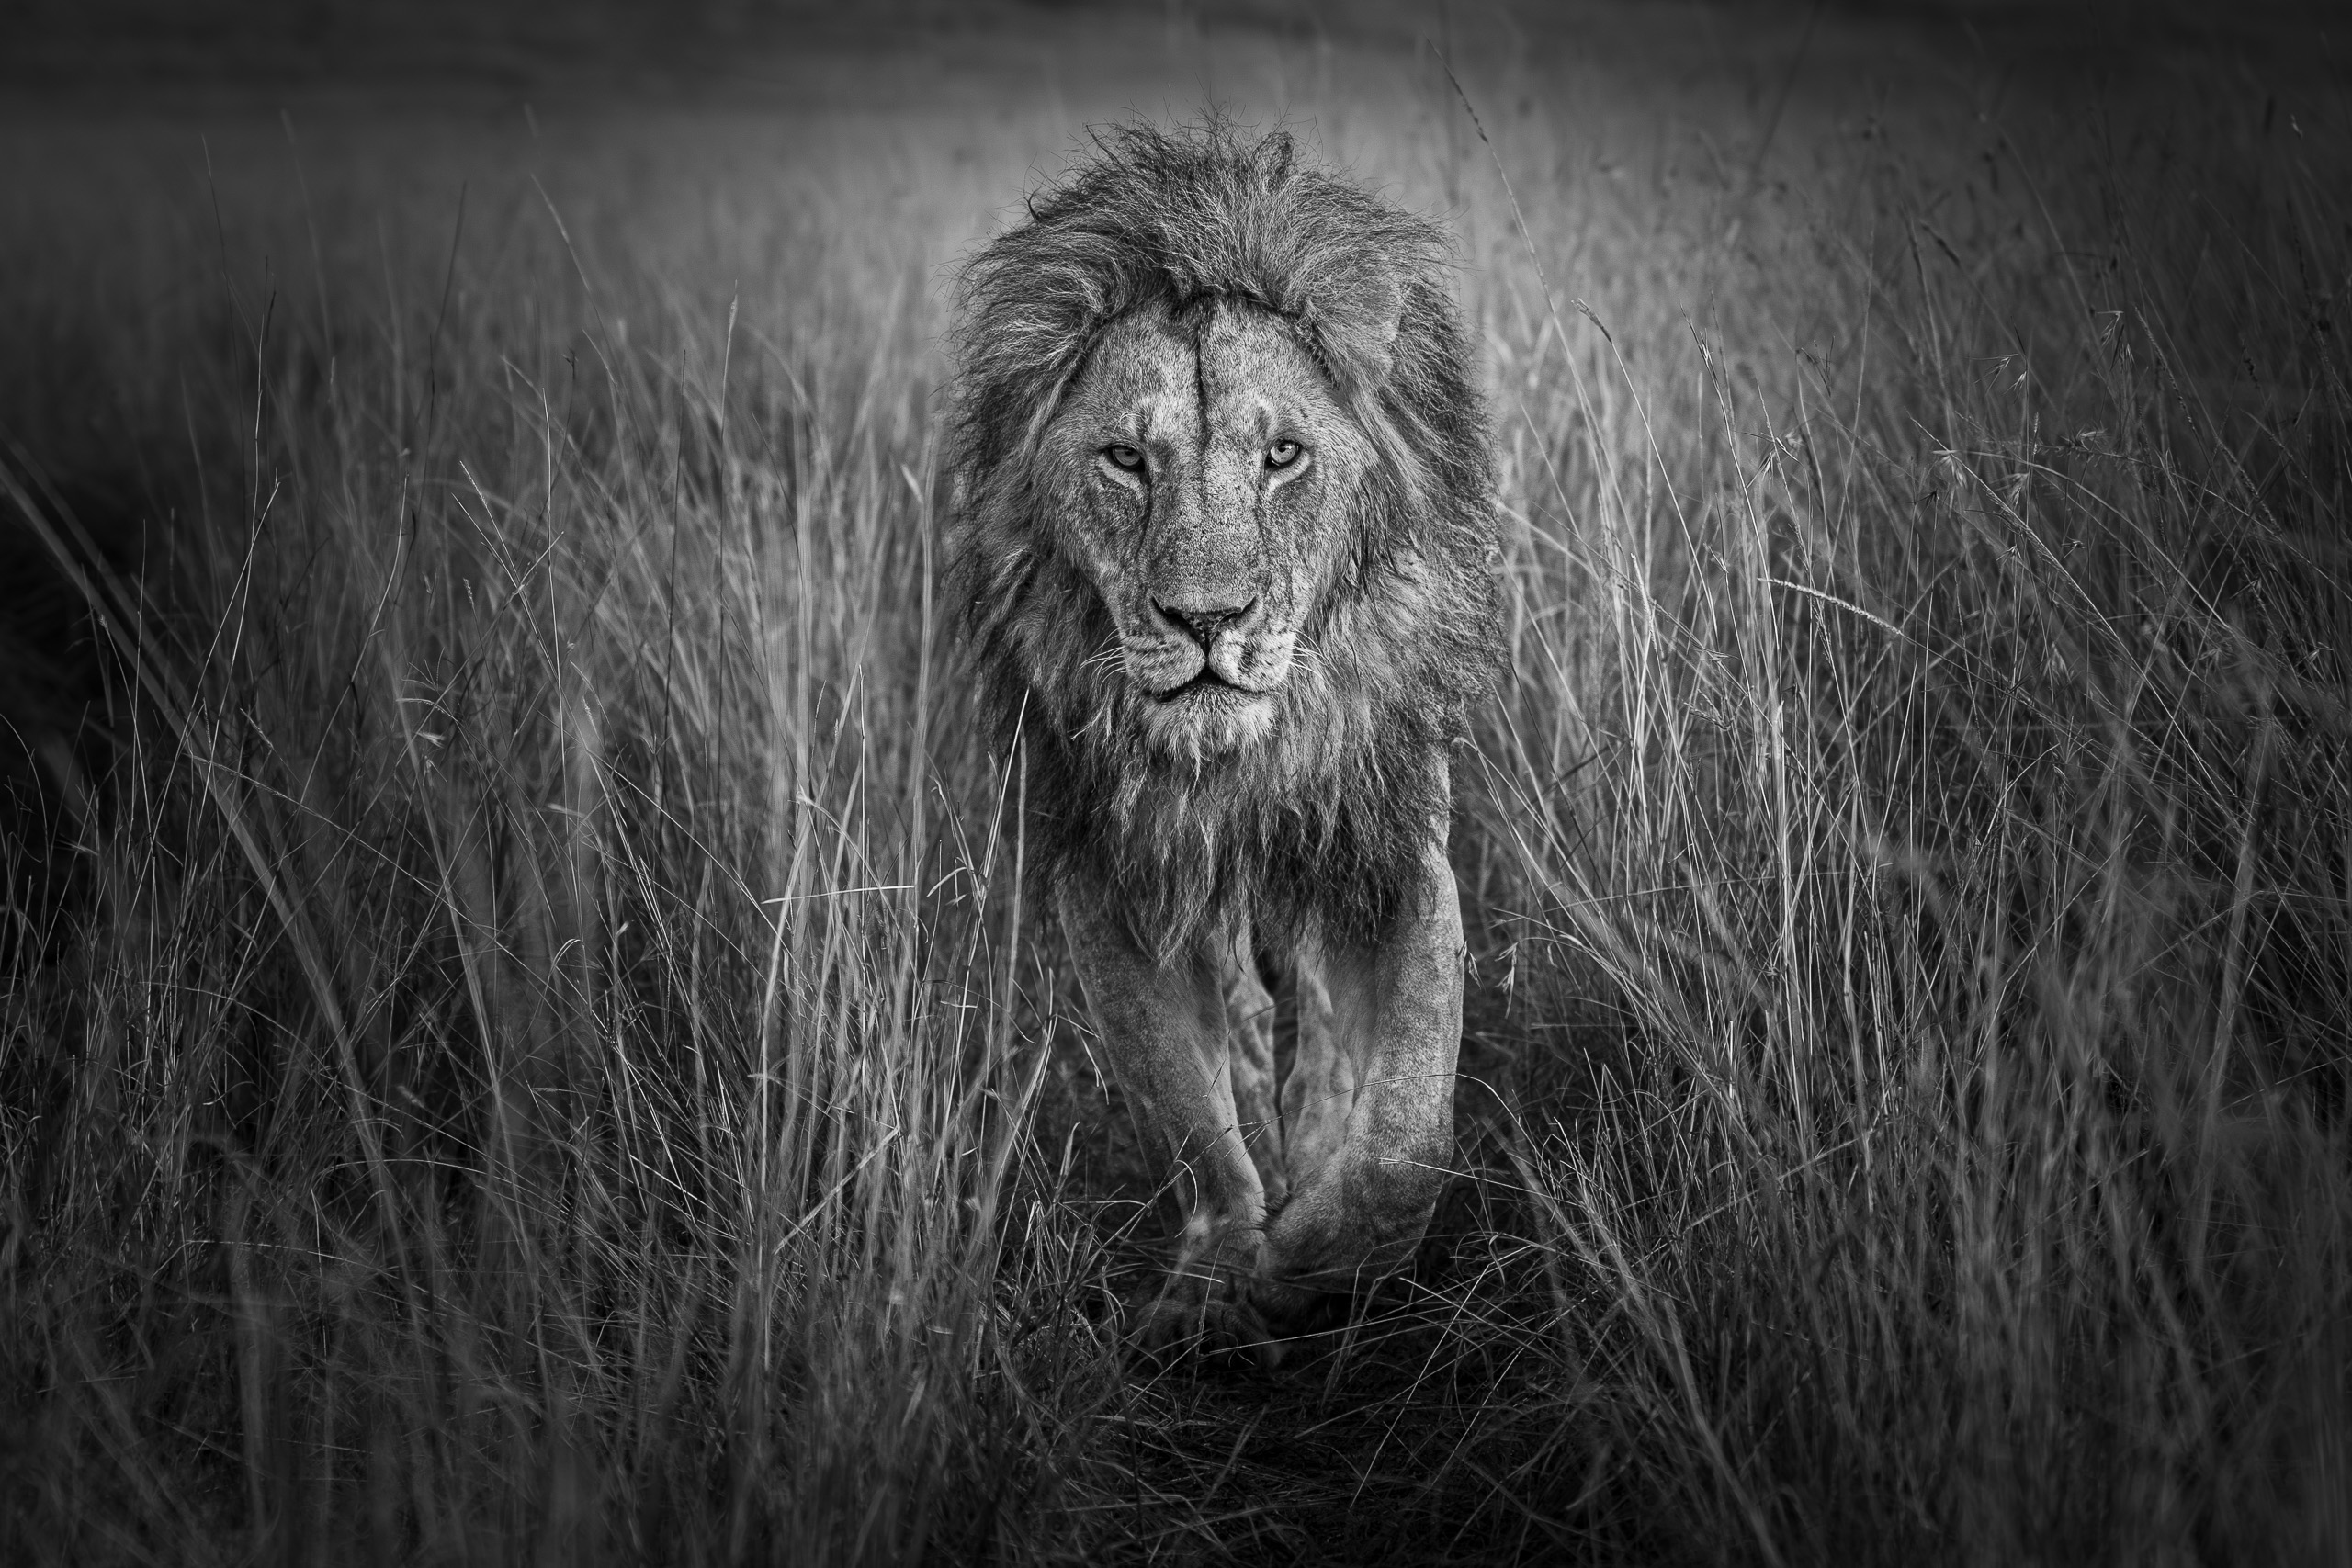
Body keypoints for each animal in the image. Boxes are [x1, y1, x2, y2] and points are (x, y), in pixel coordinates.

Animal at [945, 122, 1499, 1360]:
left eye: (1283, 456)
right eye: (1124, 459)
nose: (1207, 621)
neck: (1238, 762)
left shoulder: (1391, 842)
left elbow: (1405, 1139)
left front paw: (1318, 1254)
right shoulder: (1108, 874)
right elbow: (1183, 1113)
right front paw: (1221, 1275)